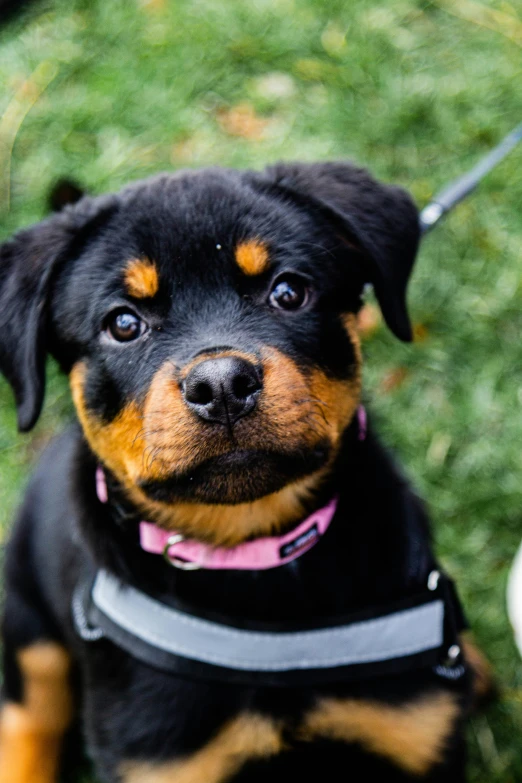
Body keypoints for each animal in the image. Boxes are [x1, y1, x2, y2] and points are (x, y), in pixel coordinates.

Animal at [0, 162, 488, 780]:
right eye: (123, 323)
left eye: (289, 291)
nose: (221, 385)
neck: (253, 555)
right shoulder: (161, 758)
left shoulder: (414, 727)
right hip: (26, 621)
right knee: (29, 715)